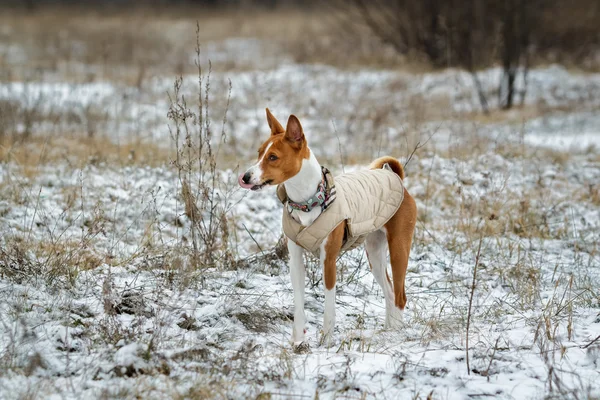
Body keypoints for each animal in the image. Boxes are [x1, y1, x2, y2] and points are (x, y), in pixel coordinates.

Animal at [239, 108, 418, 346]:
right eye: (259, 153)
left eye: (273, 157)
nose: (245, 177)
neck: (307, 202)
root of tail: (394, 176)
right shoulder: (295, 260)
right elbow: (298, 303)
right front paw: (298, 341)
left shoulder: (329, 260)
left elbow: (329, 305)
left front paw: (326, 340)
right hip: (374, 252)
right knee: (389, 292)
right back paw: (387, 332)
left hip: (399, 248)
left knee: (399, 296)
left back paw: (395, 335)